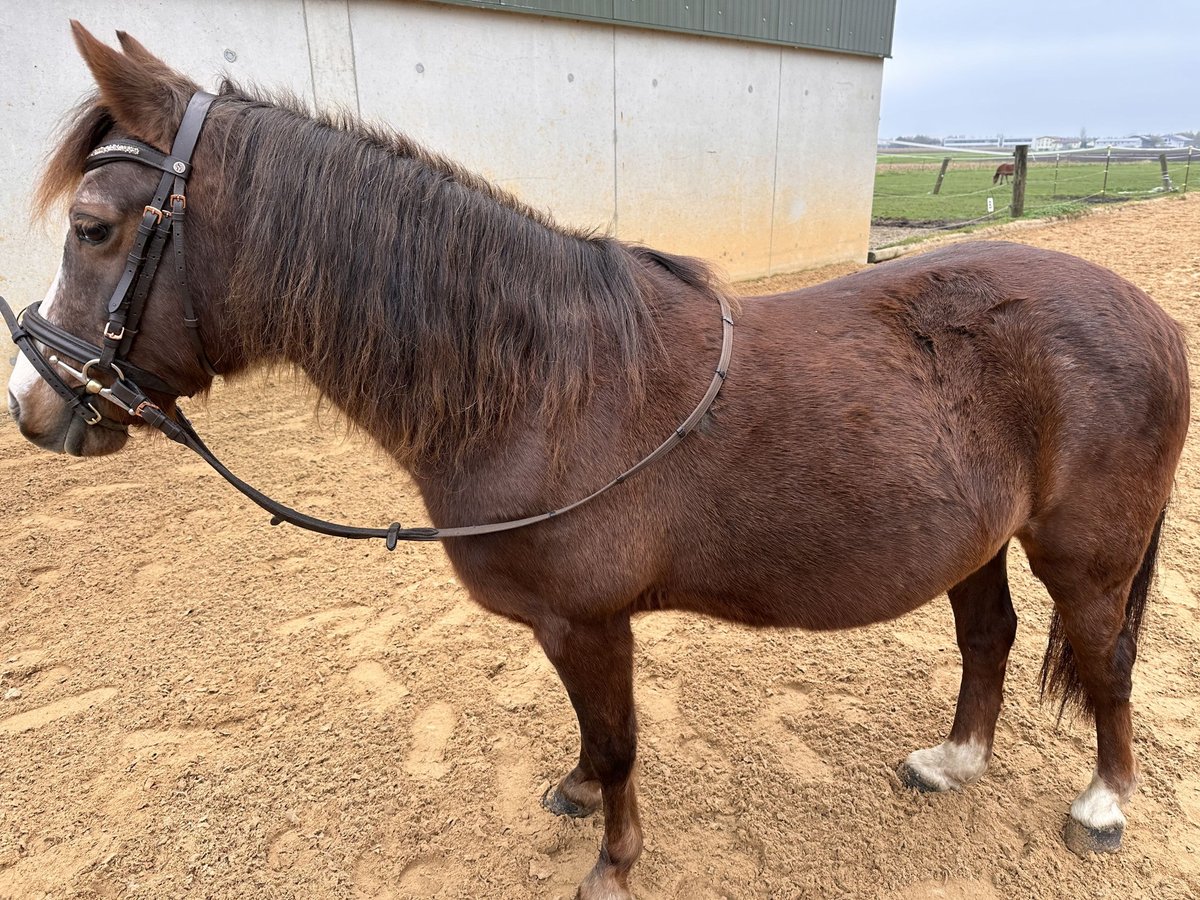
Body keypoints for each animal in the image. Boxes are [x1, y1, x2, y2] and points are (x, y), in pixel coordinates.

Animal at [7, 22, 1190, 900]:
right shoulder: (561, 623)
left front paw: (615, 864)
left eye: (96, 227)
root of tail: (1147, 315)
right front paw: (578, 794)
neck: (544, 385)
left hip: (1084, 553)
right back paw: (955, 760)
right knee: (989, 636)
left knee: (1106, 659)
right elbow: (590, 733)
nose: (34, 406)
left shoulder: (592, 618)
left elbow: (621, 741)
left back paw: (1103, 803)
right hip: (977, 540)